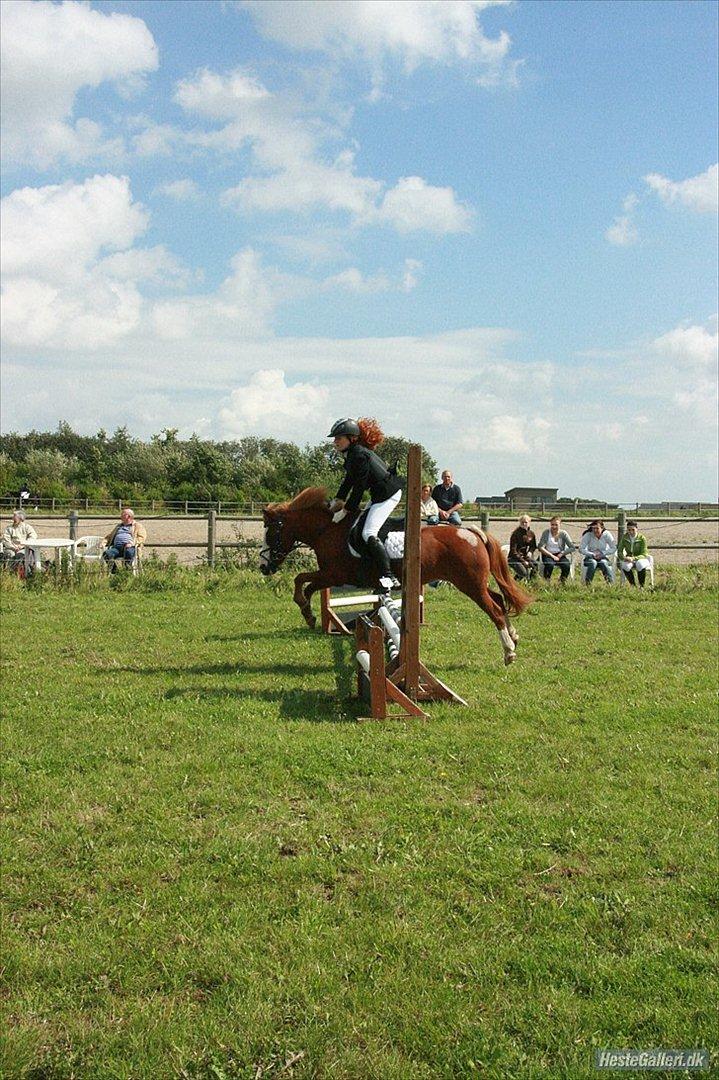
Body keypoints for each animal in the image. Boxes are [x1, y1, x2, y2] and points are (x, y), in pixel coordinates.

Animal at [260, 486, 528, 660]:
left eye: (270, 533)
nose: (264, 567)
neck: (327, 530)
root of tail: (471, 532)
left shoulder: (334, 574)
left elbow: (303, 582)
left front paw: (307, 613)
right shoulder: (330, 574)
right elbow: (304, 582)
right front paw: (308, 613)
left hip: (469, 584)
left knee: (494, 609)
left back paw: (509, 652)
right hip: (475, 583)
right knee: (499, 599)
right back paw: (514, 636)